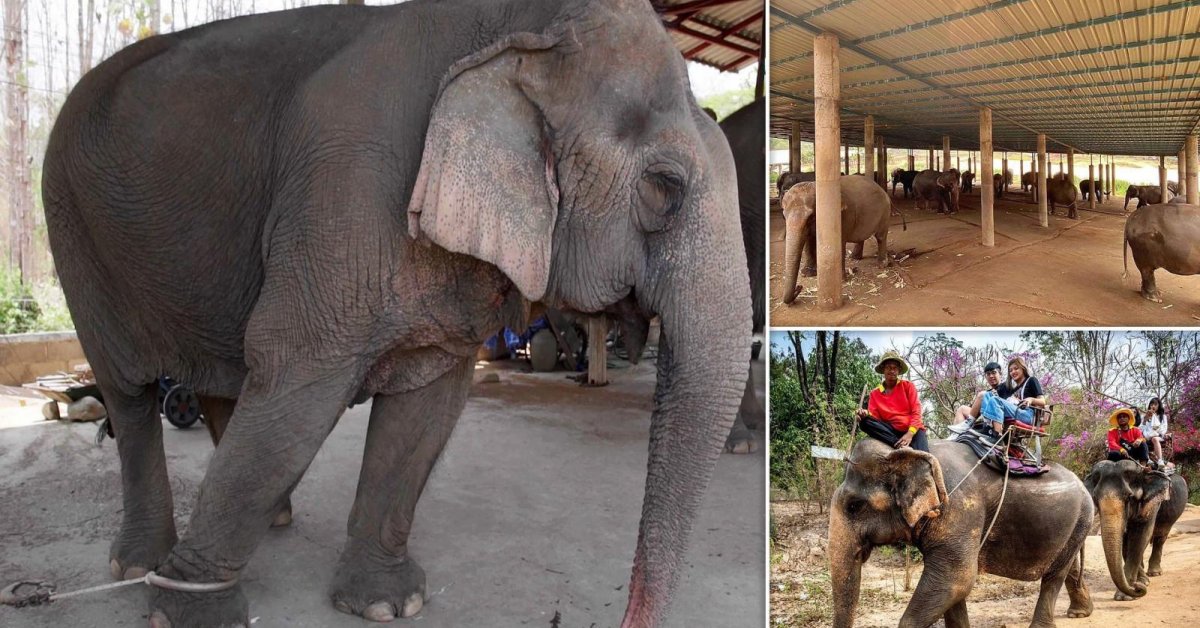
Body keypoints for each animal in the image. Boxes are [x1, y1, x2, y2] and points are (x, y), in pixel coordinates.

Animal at [40, 1, 752, 626]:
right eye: (664, 187)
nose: (622, 613)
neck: (520, 25)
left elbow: (426, 403)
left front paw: (387, 605)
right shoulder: (349, 187)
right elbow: (298, 384)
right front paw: (189, 615)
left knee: (224, 380)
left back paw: (273, 520)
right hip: (73, 228)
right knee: (129, 396)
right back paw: (140, 564)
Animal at [778, 175, 891, 305]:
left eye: (811, 217)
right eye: (784, 215)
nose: (799, 287)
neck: (816, 185)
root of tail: (881, 189)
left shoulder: (842, 216)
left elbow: (840, 242)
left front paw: (841, 280)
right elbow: (809, 241)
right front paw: (807, 274)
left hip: (885, 212)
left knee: (881, 236)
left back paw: (882, 264)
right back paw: (855, 257)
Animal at [830, 439, 1093, 628]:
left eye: (854, 506)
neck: (905, 452)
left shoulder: (959, 506)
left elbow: (956, 577)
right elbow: (953, 586)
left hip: (1083, 517)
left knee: (1054, 577)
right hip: (1075, 526)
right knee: (1067, 566)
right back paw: (1080, 613)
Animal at [1083, 461, 1188, 600]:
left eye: (1129, 497)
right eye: (1095, 498)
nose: (1138, 588)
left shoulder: (1152, 503)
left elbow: (1140, 536)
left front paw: (1124, 596)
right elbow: (1125, 542)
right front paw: (1140, 583)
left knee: (1160, 536)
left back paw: (1154, 573)